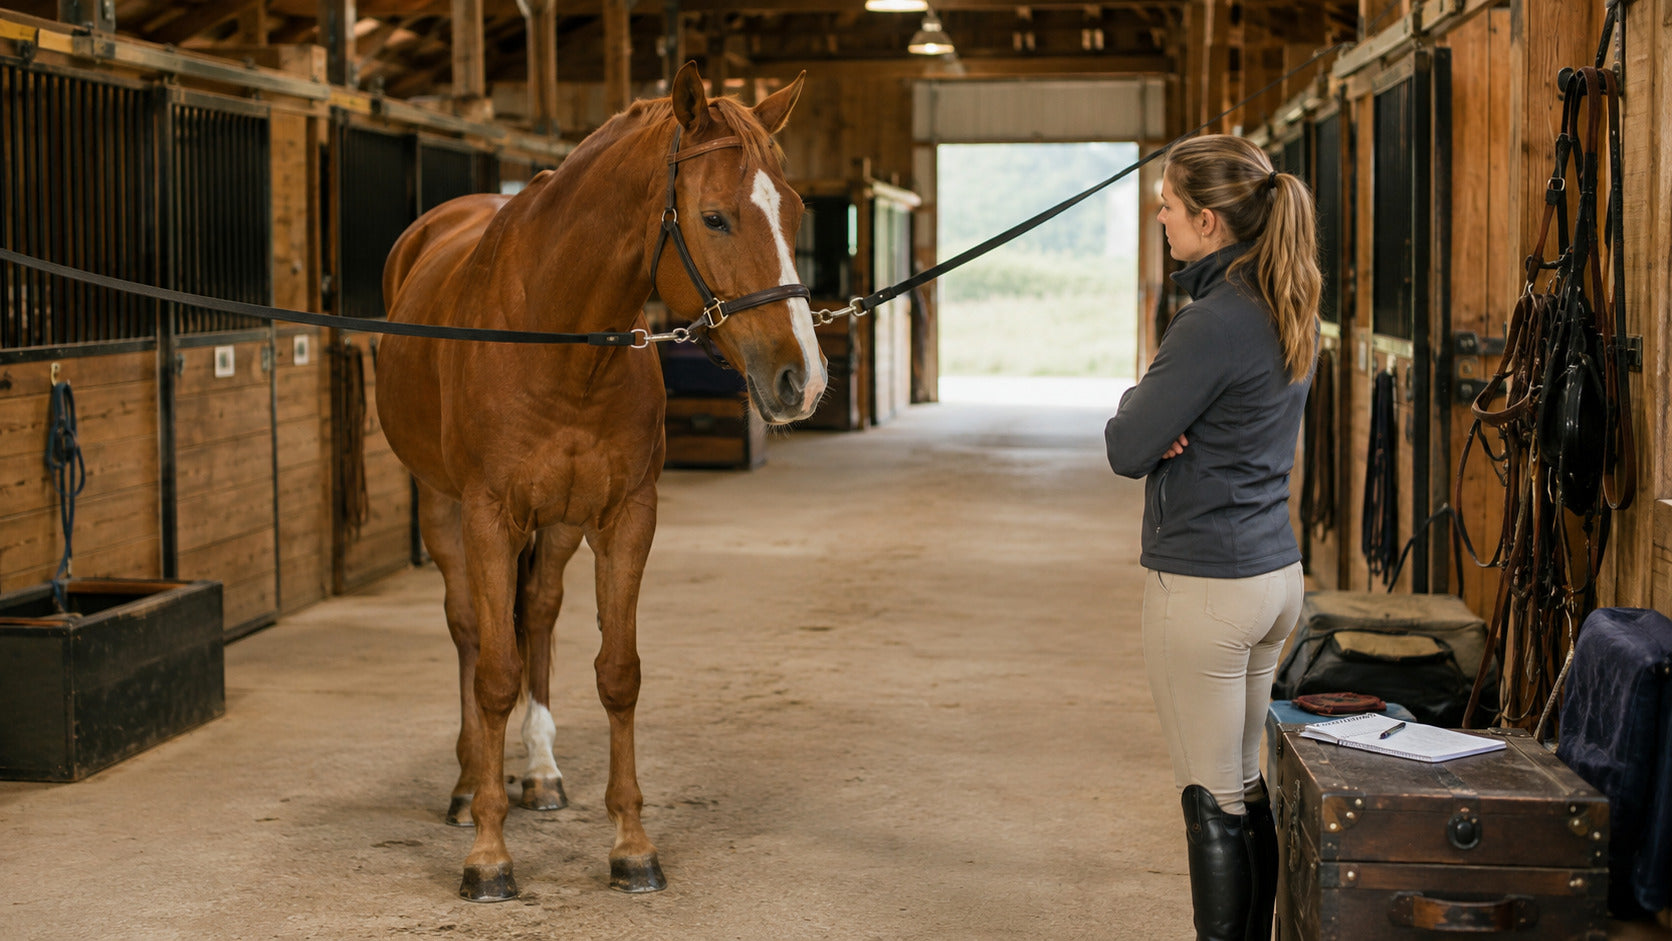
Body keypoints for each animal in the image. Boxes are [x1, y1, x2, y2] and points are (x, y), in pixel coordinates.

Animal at [375, 62, 825, 901]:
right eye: (714, 218)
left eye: (797, 210)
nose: (801, 380)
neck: (559, 338)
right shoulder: (488, 516)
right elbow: (494, 673)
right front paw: (488, 854)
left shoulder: (625, 515)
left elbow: (618, 672)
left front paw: (631, 845)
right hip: (443, 508)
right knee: (469, 628)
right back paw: (468, 784)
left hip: (557, 523)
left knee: (541, 615)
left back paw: (542, 774)